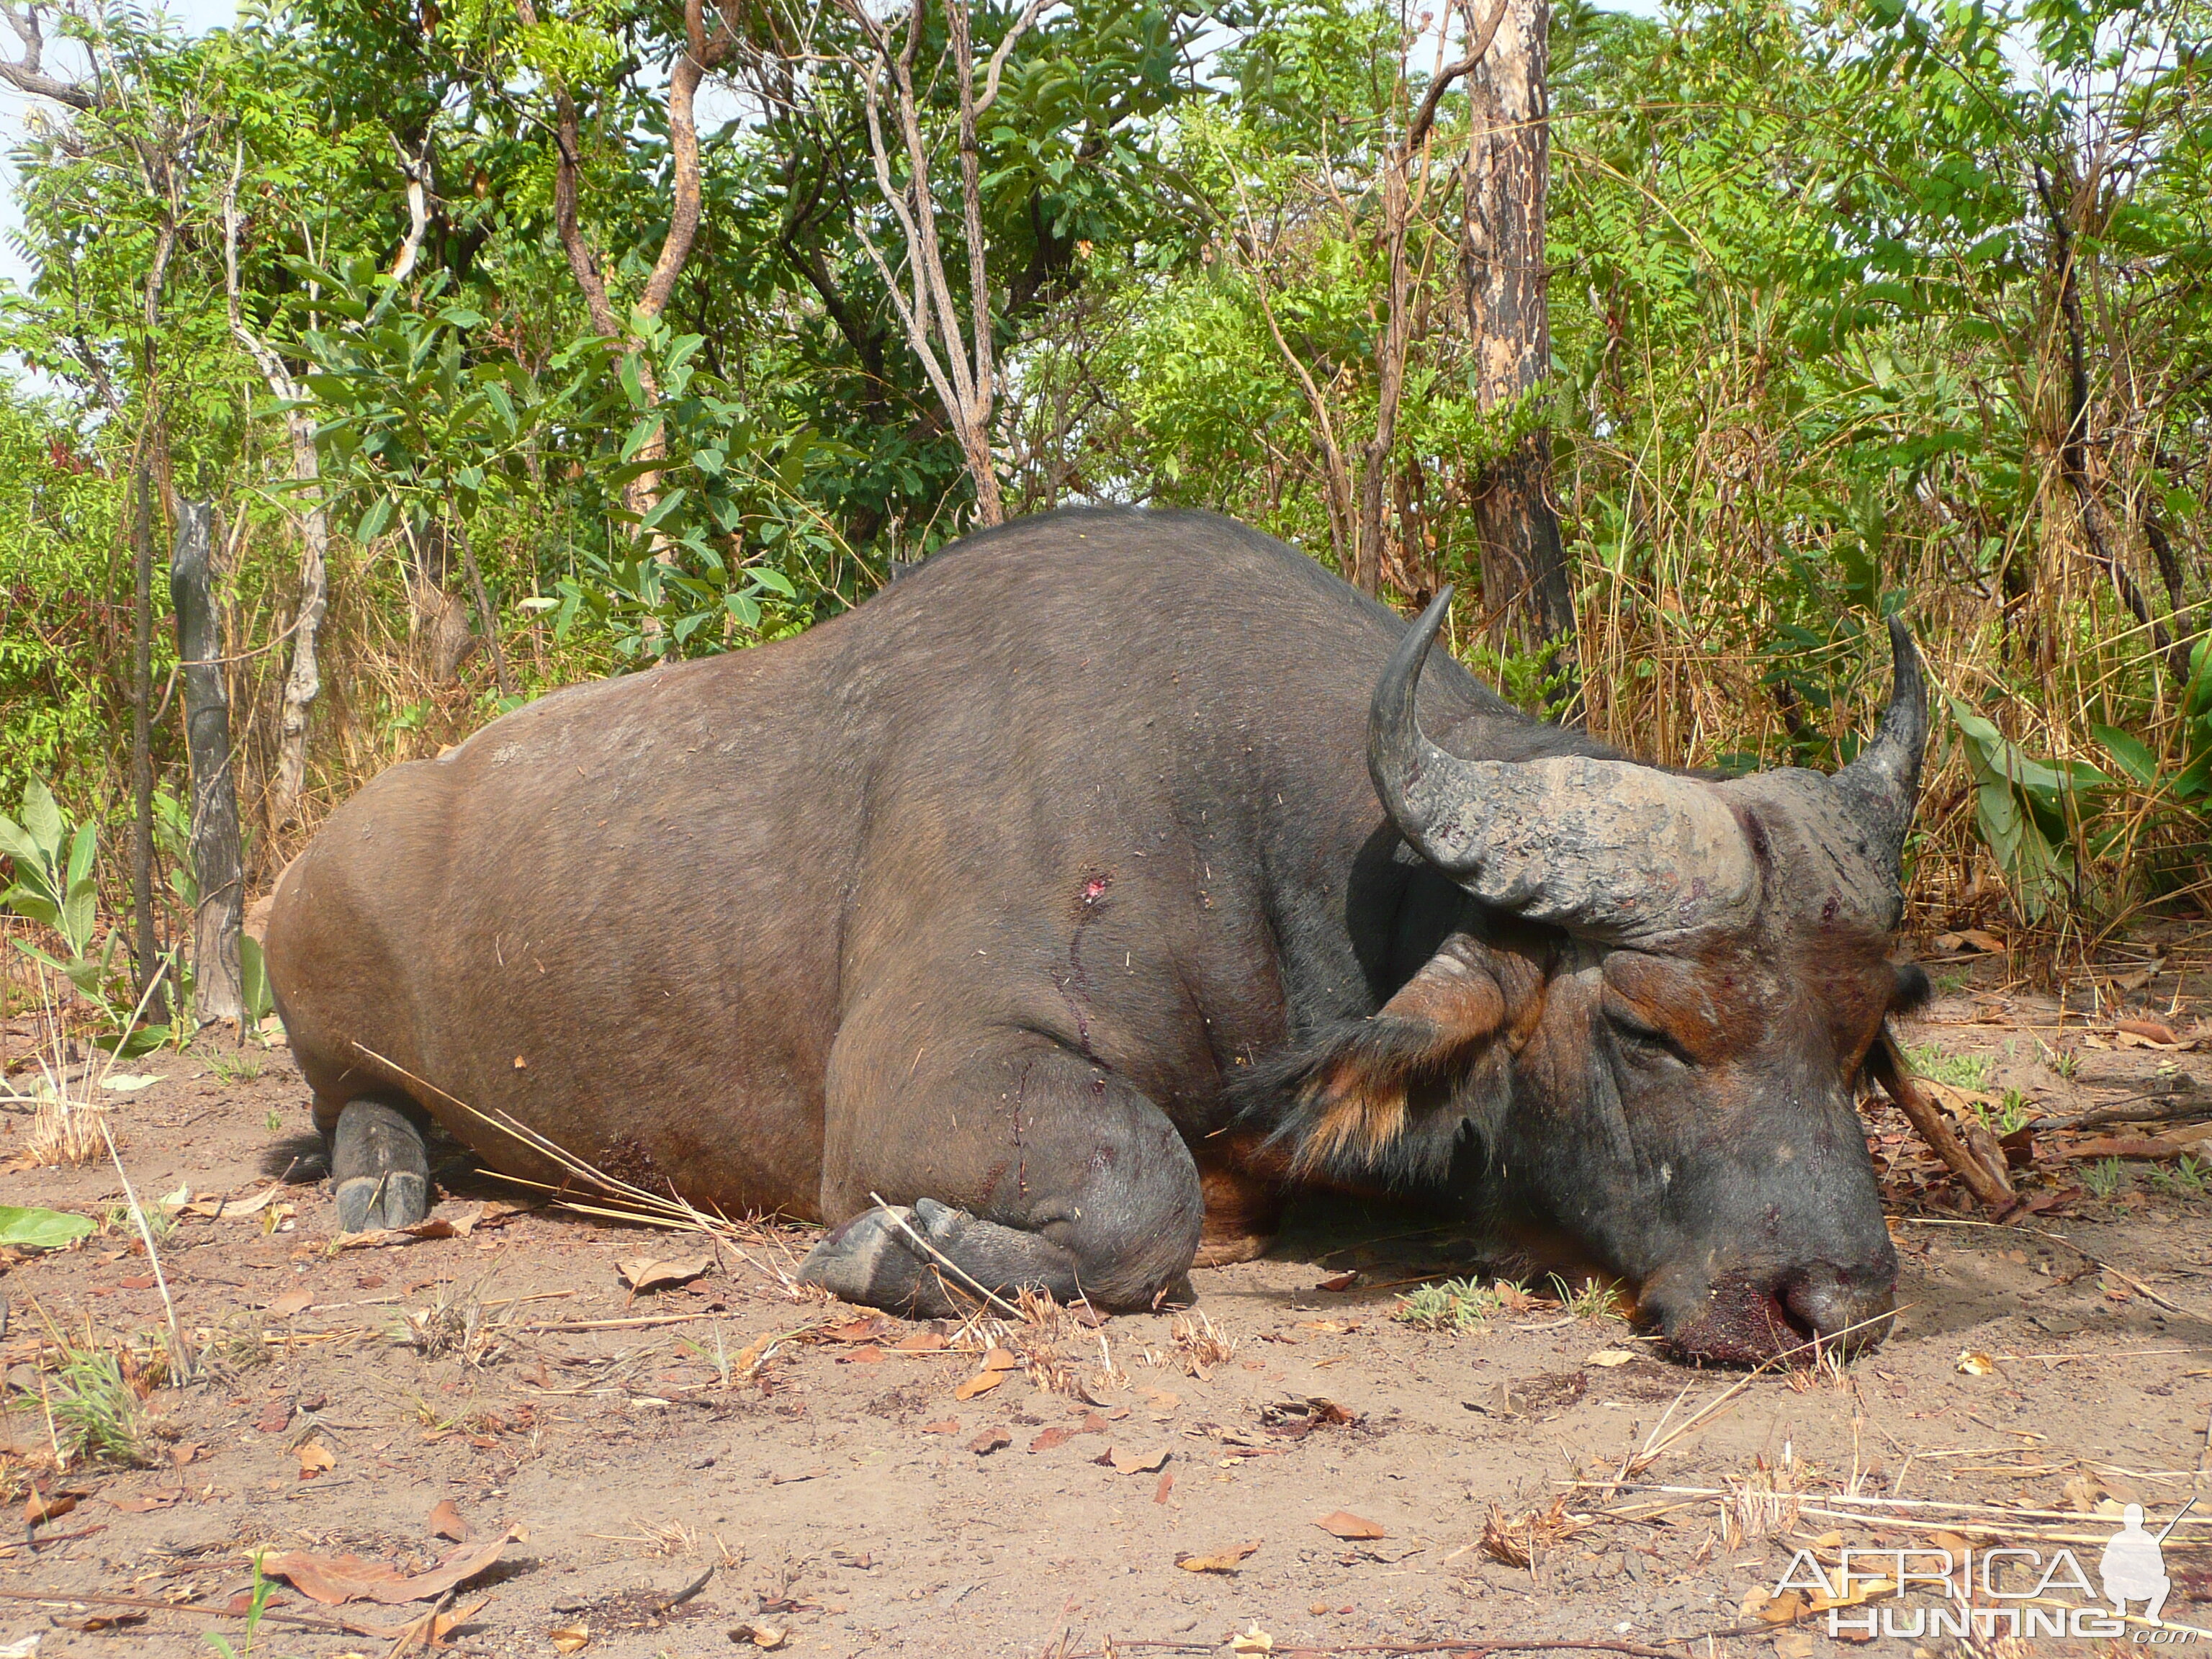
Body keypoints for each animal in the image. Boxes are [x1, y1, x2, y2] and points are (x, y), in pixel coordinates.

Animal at [267, 506, 1928, 1362]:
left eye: (1857, 1042)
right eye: (1649, 1029)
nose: (1835, 1298)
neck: (1231, 820)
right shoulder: (921, 1080)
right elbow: (1147, 1201)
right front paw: (892, 1250)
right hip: (326, 1012)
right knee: (354, 1102)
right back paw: (380, 1178)